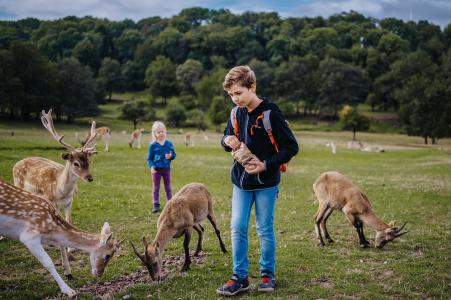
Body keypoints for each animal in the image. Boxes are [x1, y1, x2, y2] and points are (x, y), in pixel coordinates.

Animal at [13, 110, 99, 278]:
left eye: (89, 161)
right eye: (76, 163)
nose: (90, 178)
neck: (60, 190)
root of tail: (16, 163)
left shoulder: (69, 202)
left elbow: (69, 222)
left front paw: (71, 249)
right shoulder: (51, 201)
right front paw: (67, 270)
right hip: (18, 184)